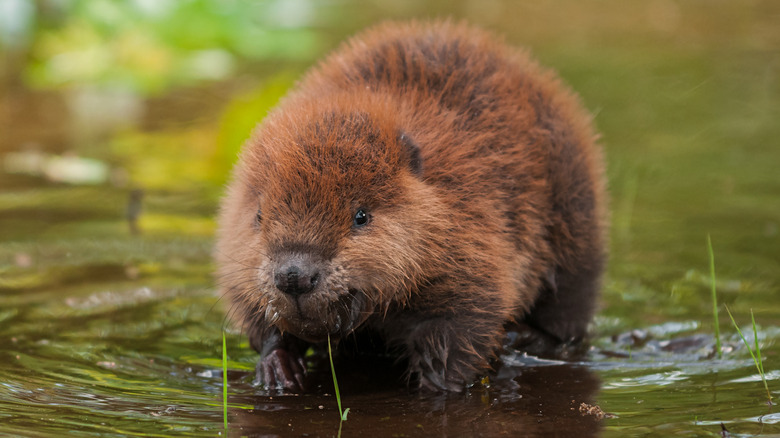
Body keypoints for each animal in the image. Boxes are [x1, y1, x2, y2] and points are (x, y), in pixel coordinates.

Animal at [215, 20, 608, 392]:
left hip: (575, 222)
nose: (294, 276)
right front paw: (278, 369)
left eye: (361, 216)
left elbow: (462, 328)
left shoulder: (471, 240)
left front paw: (439, 383)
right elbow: (258, 319)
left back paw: (524, 338)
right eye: (259, 215)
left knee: (568, 315)